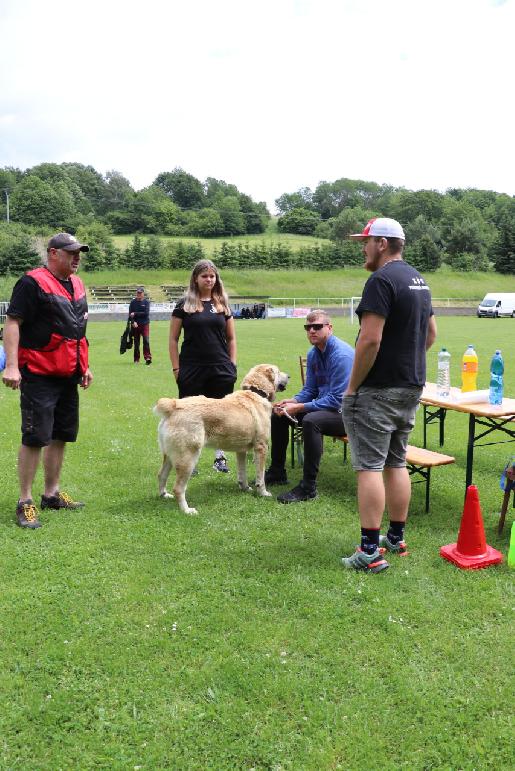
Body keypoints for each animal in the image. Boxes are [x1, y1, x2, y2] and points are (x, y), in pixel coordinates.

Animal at [153, 364, 290, 516]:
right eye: (278, 371)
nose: (289, 376)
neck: (256, 392)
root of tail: (173, 405)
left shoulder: (241, 451)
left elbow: (242, 473)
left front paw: (245, 488)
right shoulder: (261, 447)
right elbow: (261, 477)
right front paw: (263, 493)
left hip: (170, 455)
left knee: (161, 475)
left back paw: (164, 495)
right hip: (188, 458)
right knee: (178, 488)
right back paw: (187, 510)